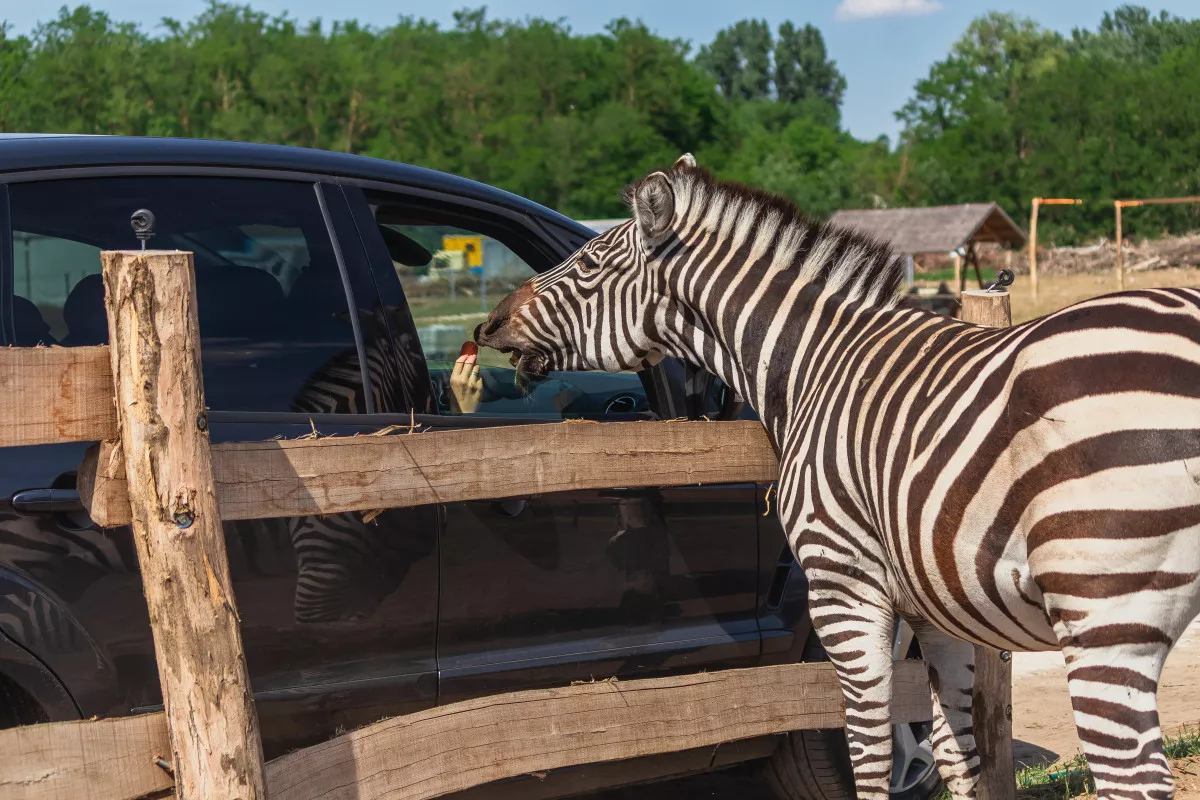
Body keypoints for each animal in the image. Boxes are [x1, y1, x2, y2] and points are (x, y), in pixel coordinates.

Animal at [477, 155, 1200, 800]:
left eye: (588, 265)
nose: (488, 325)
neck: (814, 362)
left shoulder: (839, 578)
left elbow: (870, 751)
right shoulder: (939, 602)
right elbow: (955, 754)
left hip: (1101, 599)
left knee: (1133, 777)